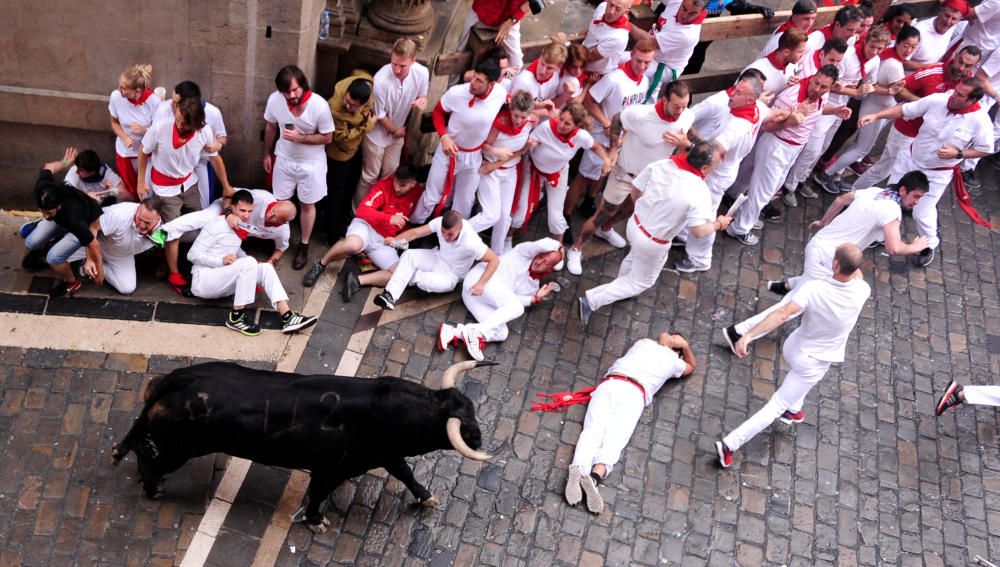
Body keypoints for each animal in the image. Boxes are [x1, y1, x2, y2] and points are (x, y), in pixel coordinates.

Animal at [113, 360, 496, 532]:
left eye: (472, 408)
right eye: (466, 427)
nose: (480, 438)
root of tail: (179, 378)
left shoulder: (386, 455)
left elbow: (406, 473)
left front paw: (427, 497)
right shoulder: (332, 470)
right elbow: (318, 495)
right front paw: (316, 520)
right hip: (176, 448)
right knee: (148, 457)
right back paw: (154, 490)